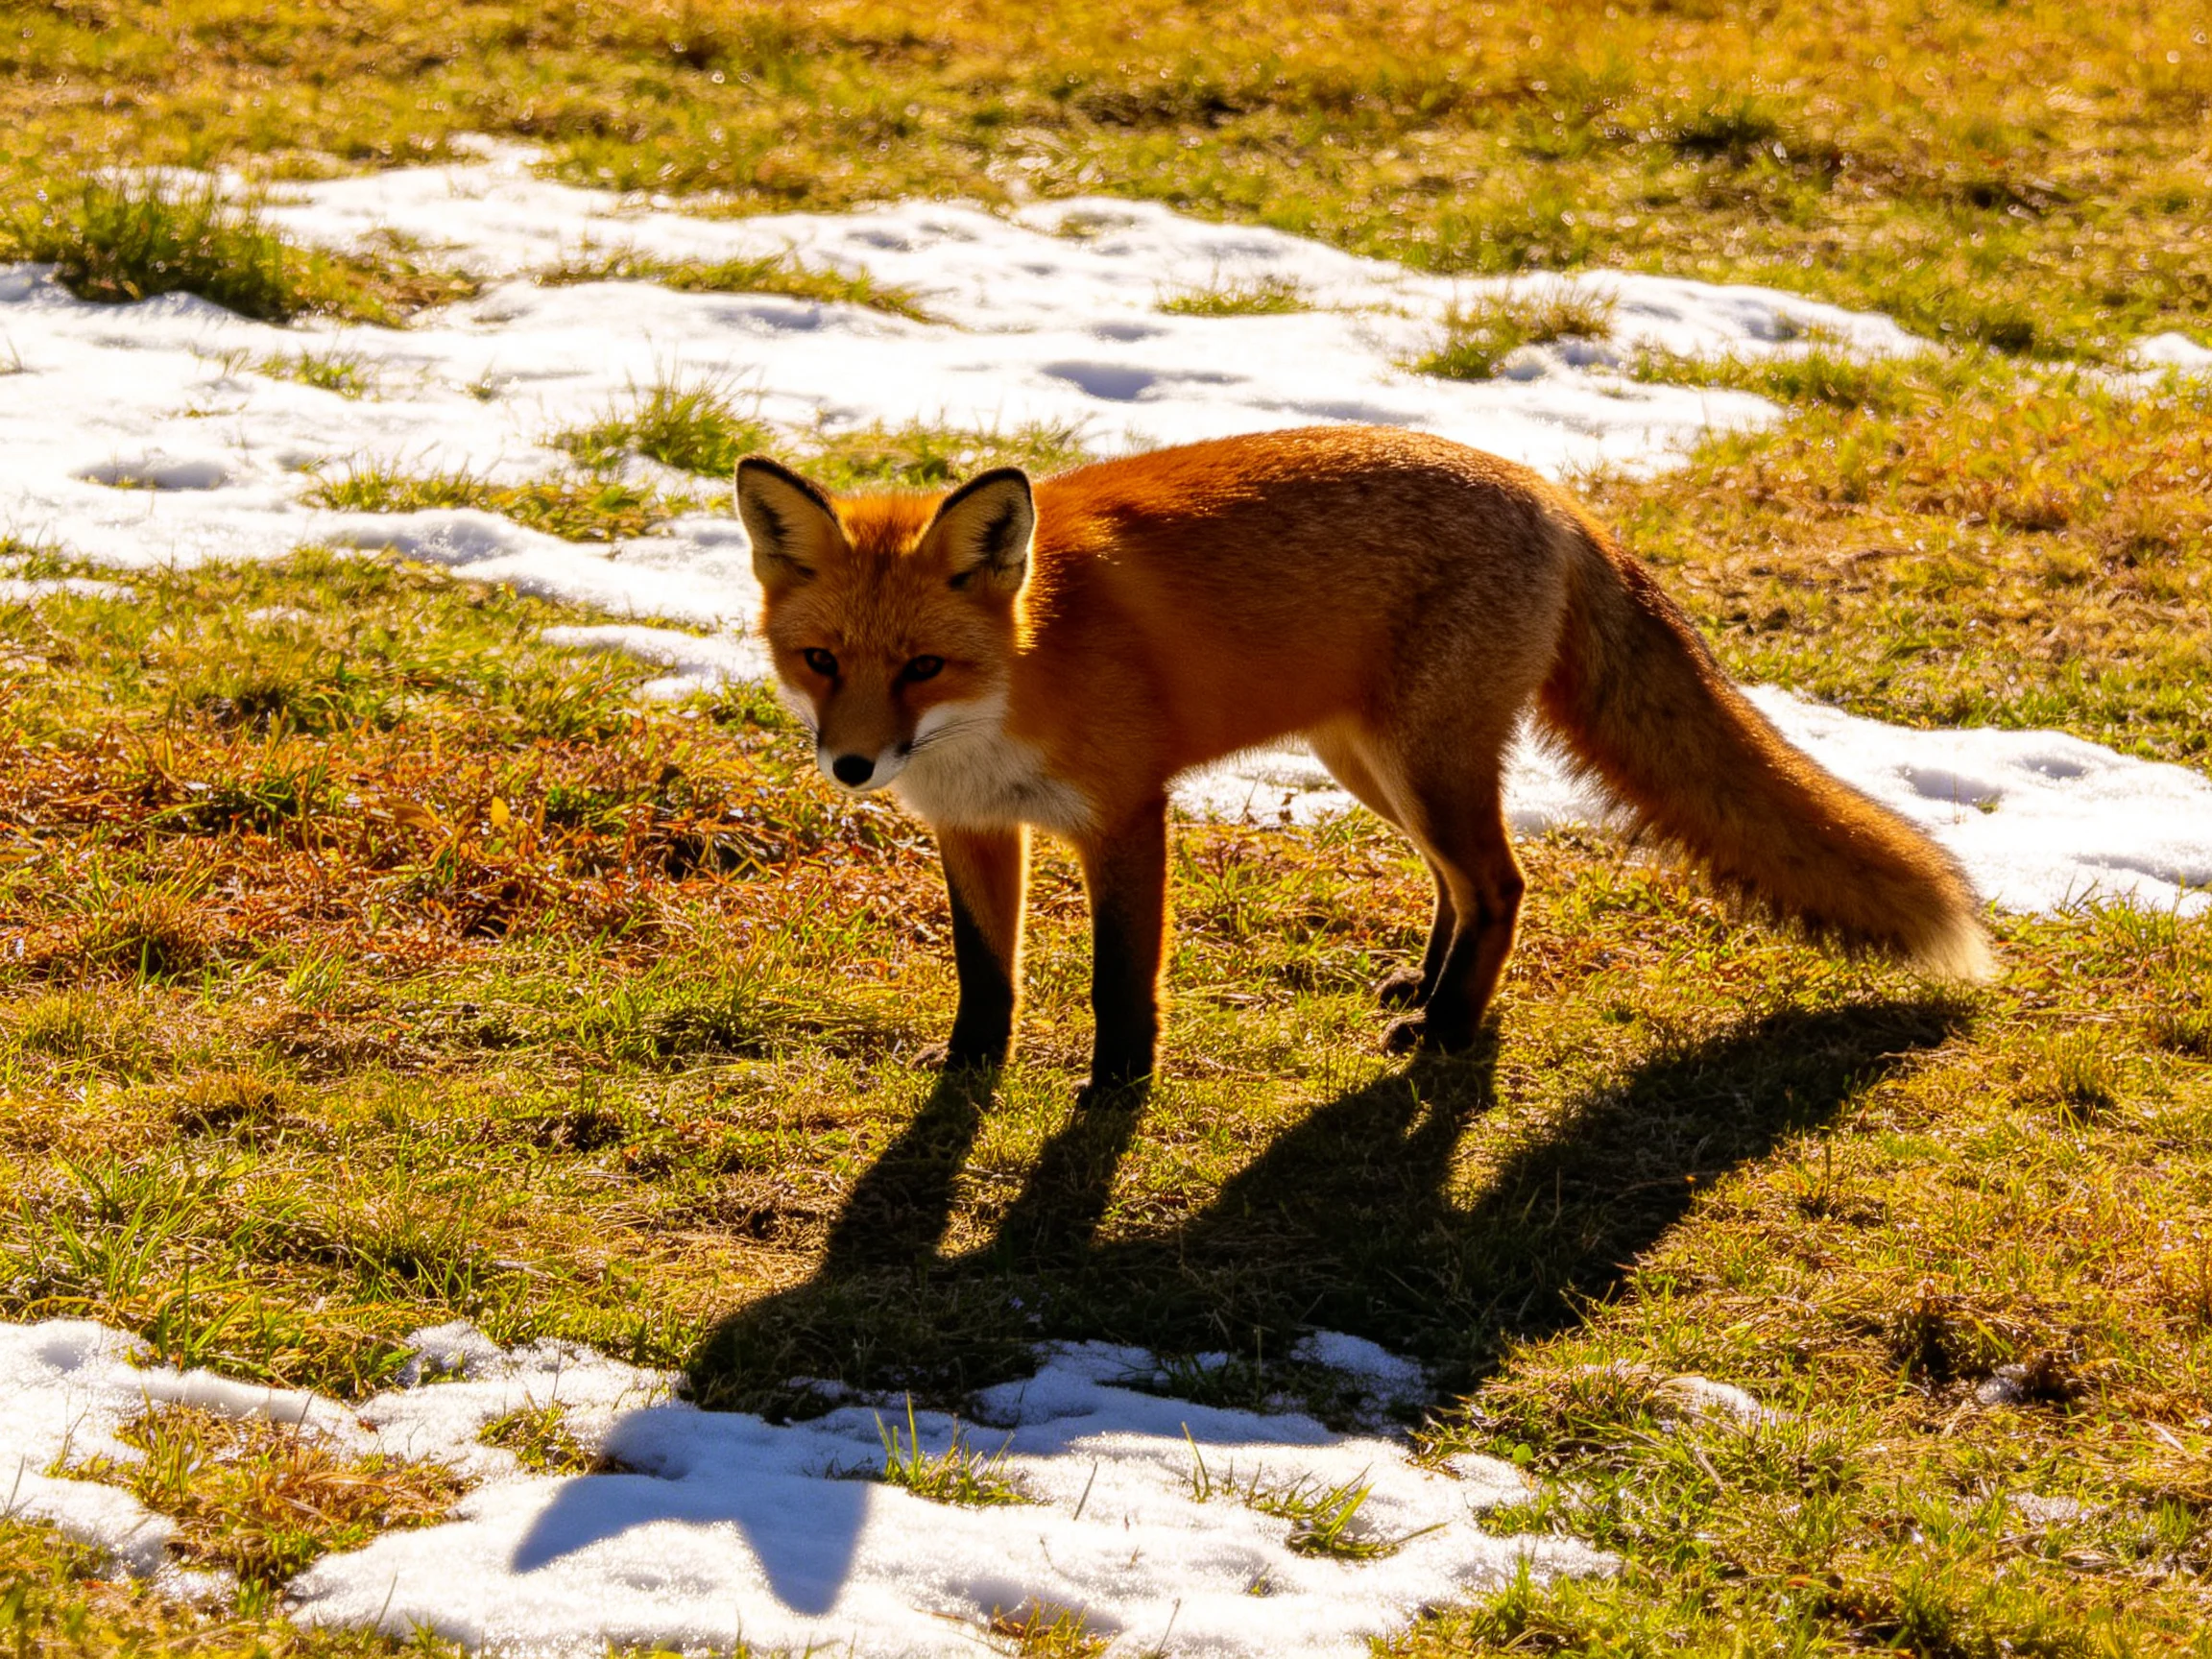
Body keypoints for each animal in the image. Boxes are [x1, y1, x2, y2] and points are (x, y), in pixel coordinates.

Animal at [736, 425, 1991, 1092]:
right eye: (820, 661)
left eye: (922, 667)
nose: (853, 769)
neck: (1022, 667)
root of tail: (1554, 495)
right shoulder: (978, 827)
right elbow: (985, 978)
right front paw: (967, 1076)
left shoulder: (1126, 814)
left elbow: (1119, 983)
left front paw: (1114, 1092)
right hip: (1372, 767)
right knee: (1461, 886)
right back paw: (1426, 989)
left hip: (1419, 763)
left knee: (1503, 885)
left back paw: (1447, 1032)